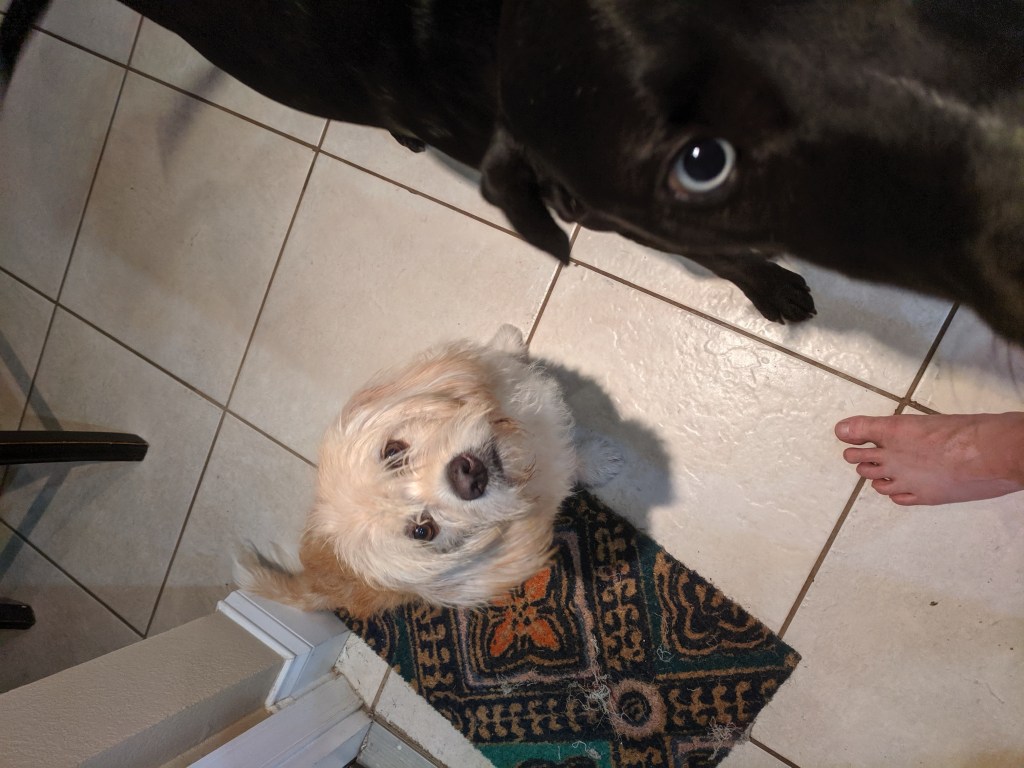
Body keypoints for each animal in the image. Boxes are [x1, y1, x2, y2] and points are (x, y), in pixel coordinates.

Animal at [235, 326, 619, 616]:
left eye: (393, 453)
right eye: (423, 531)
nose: (467, 477)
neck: (520, 450)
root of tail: (315, 581)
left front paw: (508, 342)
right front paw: (600, 461)